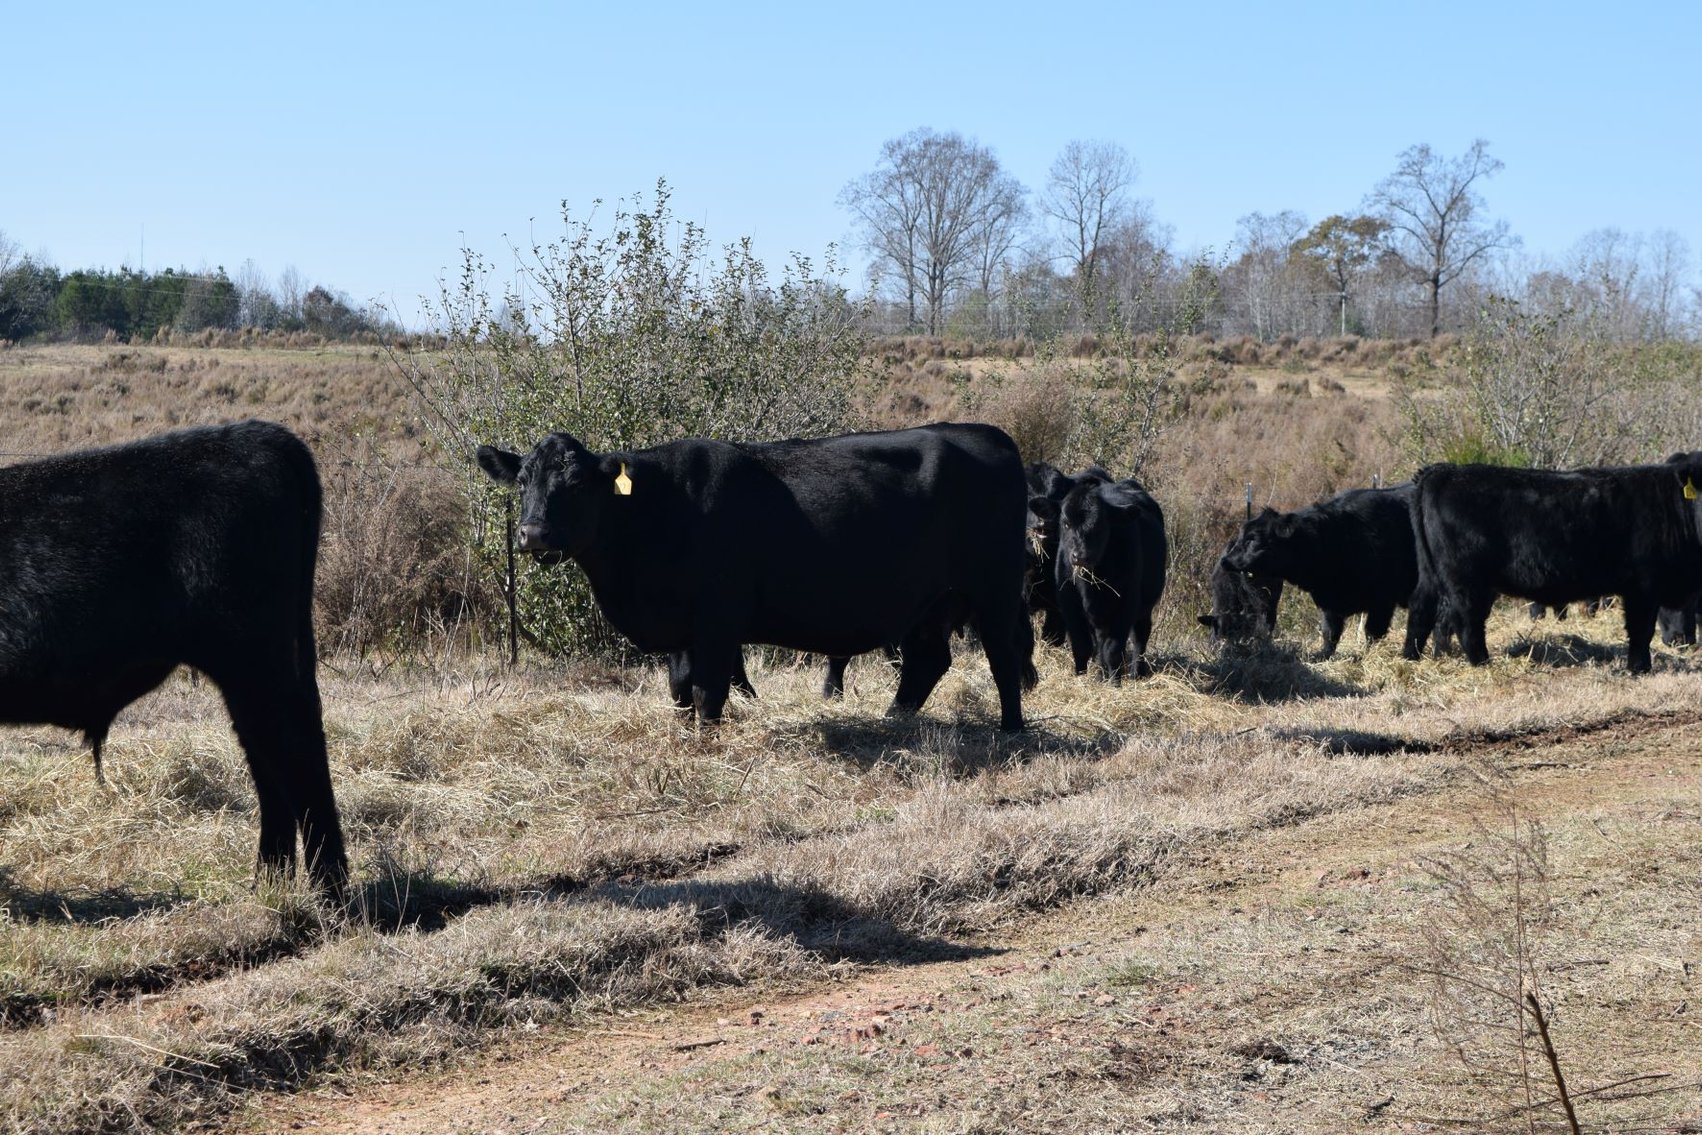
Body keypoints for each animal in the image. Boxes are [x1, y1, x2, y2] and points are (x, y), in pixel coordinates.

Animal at [0, 421, 348, 892]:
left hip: (253, 662)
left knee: (296, 752)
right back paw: (269, 883)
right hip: (252, 672)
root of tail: (256, 433)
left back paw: (330, 893)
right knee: (267, 758)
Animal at [476, 423, 1031, 731]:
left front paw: (707, 743)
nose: (532, 533)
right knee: (928, 661)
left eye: (574, 483)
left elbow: (708, 692)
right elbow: (679, 689)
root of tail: (989, 435)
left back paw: (1012, 731)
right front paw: (685, 740)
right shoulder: (683, 624)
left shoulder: (718, 619)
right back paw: (893, 721)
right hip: (931, 603)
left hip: (997, 589)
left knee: (1004, 659)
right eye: (522, 482)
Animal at [1030, 477, 1167, 683]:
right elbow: (1082, 646)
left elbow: (1113, 649)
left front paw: (1114, 683)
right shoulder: (1070, 606)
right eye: (1066, 524)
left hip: (1144, 606)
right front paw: (1081, 677)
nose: (1080, 556)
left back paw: (1136, 673)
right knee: (1099, 641)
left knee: (1140, 636)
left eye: (1100, 525)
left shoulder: (1125, 605)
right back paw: (1102, 674)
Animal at [1220, 483, 1427, 659]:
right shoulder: (1328, 601)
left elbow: (1372, 632)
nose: (1225, 560)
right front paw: (1323, 655)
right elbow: (1330, 632)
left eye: (1252, 540)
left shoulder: (1382, 600)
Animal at [1403, 457, 1702, 671]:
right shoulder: (1643, 586)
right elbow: (1641, 630)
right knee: (1465, 621)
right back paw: (1483, 665)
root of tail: (1442, 471)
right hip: (1467, 581)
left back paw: (1411, 659)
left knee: (1422, 610)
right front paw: (1640, 669)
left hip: (1431, 574)